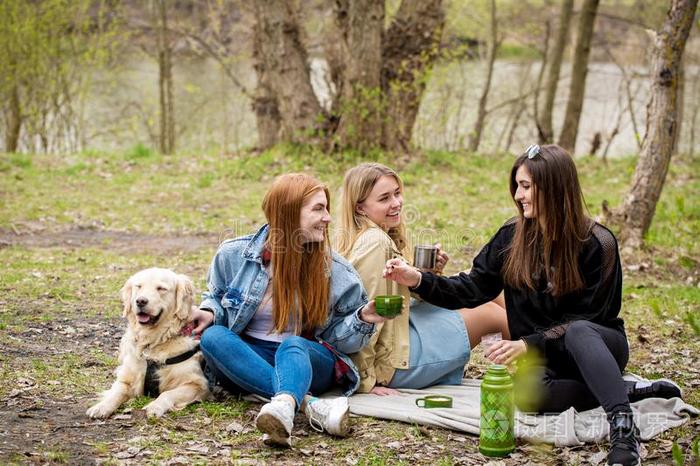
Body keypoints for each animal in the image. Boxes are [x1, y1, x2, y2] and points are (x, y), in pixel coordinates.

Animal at [86, 268, 209, 416]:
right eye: (138, 286)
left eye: (161, 288)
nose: (140, 301)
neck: (154, 340)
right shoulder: (128, 378)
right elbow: (117, 392)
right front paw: (101, 407)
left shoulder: (198, 384)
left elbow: (167, 393)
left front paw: (155, 406)